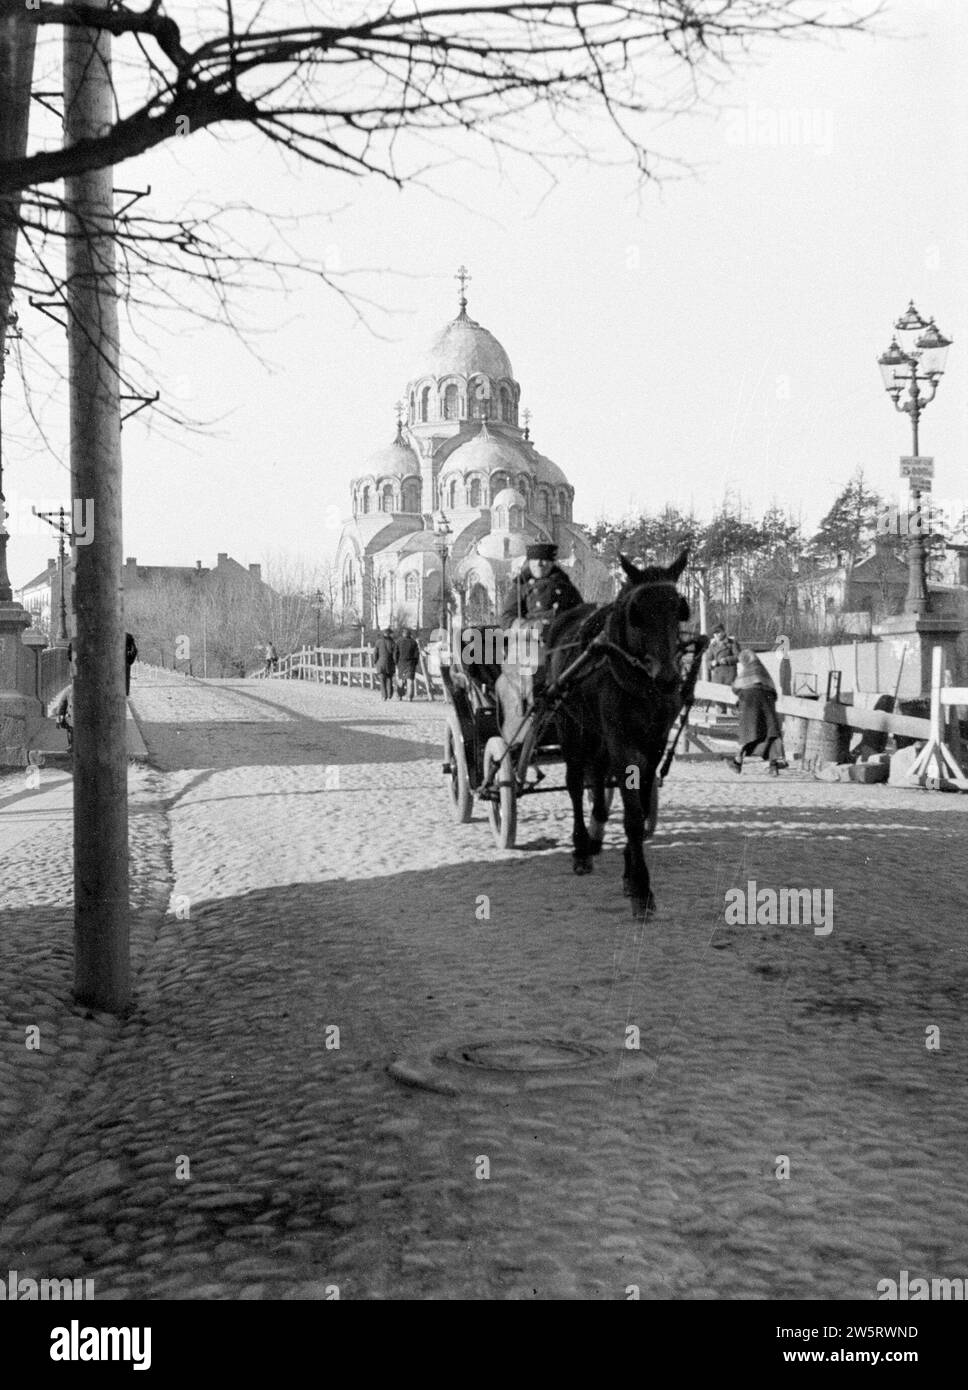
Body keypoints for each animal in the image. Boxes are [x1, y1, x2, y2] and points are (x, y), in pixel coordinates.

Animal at [545, 553, 687, 922]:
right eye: (635, 612)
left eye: (680, 608)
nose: (668, 678)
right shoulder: (622, 743)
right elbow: (634, 817)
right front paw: (641, 889)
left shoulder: (654, 743)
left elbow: (640, 804)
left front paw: (629, 873)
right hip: (571, 726)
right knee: (575, 784)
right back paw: (582, 848)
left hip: (596, 734)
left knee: (595, 778)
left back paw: (596, 833)